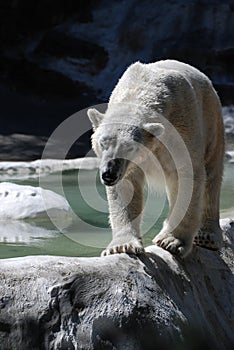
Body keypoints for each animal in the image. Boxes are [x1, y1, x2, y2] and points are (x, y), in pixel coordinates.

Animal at [87, 59, 224, 258]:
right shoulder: (128, 166)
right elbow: (126, 188)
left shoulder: (180, 128)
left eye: (129, 147)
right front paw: (122, 246)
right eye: (103, 143)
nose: (108, 174)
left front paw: (172, 241)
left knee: (212, 174)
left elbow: (187, 175)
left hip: (211, 118)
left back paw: (207, 236)